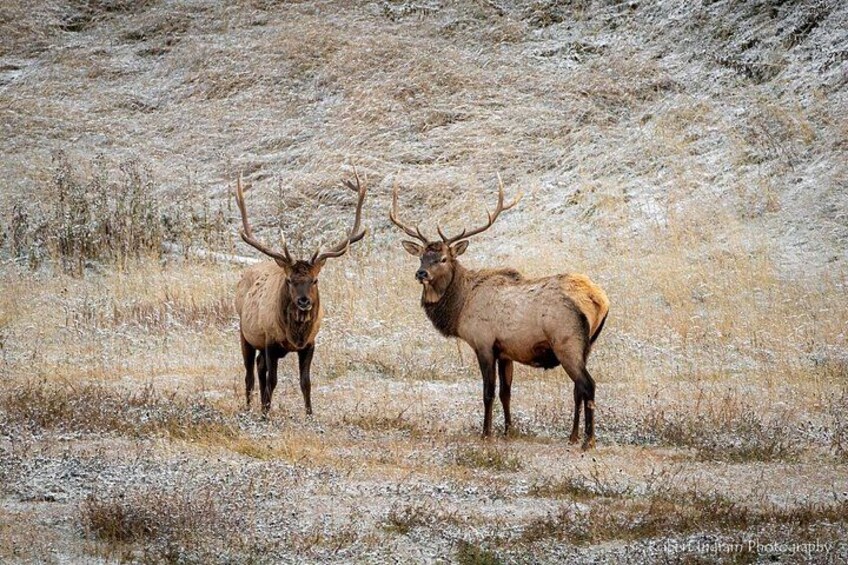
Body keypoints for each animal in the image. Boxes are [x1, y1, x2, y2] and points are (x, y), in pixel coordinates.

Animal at [234, 170, 367, 415]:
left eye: (315, 280)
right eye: (289, 280)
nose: (304, 301)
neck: (294, 335)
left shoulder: (310, 343)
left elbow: (306, 382)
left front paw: (309, 415)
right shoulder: (270, 341)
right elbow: (273, 380)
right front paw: (266, 415)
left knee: (259, 367)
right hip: (244, 333)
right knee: (249, 374)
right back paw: (250, 408)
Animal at [389, 176, 609, 449]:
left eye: (443, 259)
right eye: (421, 256)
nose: (421, 273)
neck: (460, 306)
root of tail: (599, 300)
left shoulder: (483, 342)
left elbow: (488, 392)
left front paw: (486, 433)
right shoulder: (506, 351)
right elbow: (506, 392)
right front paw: (508, 430)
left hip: (566, 341)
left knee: (588, 384)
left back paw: (588, 440)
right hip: (587, 345)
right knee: (577, 388)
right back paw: (573, 435)